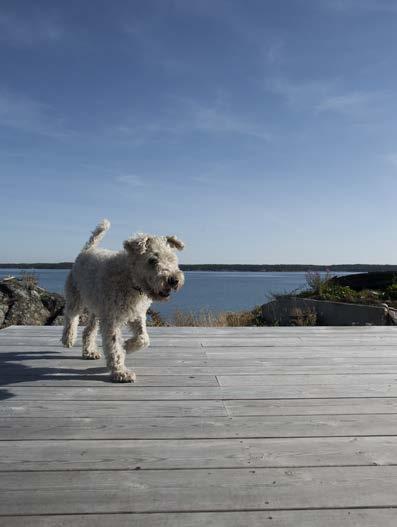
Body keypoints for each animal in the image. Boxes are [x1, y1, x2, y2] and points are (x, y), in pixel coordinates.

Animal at [60, 220, 184, 384]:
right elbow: (114, 346)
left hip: (97, 309)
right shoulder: (112, 319)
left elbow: (144, 339)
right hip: (76, 297)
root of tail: (87, 249)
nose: (174, 280)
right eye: (152, 260)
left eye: (171, 259)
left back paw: (90, 352)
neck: (130, 279)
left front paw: (126, 346)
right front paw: (121, 372)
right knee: (70, 317)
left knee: (88, 331)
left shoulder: (137, 314)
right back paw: (68, 339)